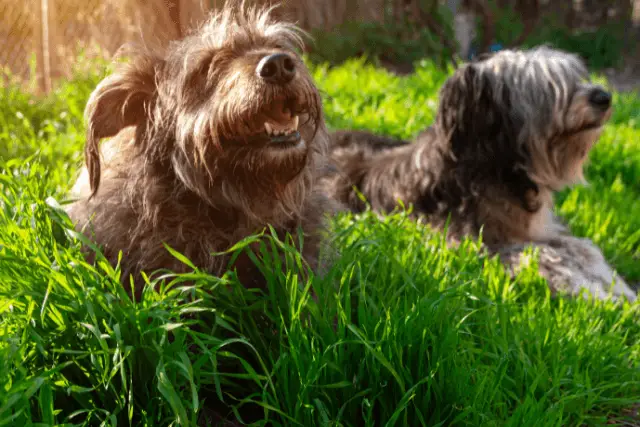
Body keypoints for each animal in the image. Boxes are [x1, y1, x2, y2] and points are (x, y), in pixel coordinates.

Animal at [320, 46, 636, 300]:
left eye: (576, 75)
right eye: (547, 86)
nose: (604, 97)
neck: (496, 166)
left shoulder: (542, 229)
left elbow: (583, 246)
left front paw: (618, 287)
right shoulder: (469, 243)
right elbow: (545, 254)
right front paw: (596, 293)